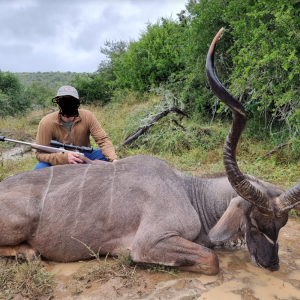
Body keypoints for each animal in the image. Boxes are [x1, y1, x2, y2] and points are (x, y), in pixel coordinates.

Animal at [0, 29, 300, 276]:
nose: (271, 264)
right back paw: (28, 252)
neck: (189, 192)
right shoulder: (151, 241)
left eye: (282, 225)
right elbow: (210, 260)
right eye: (255, 224)